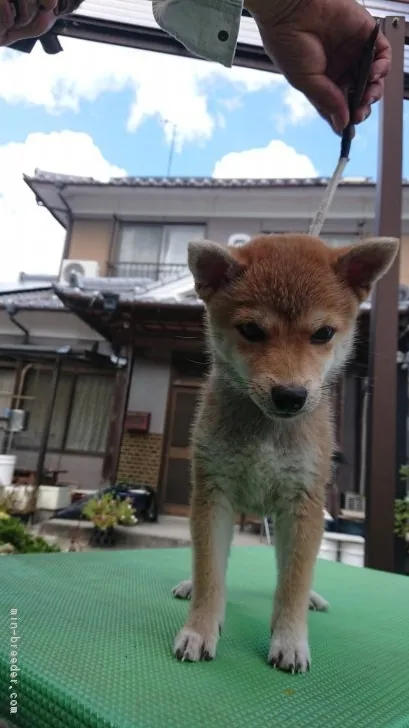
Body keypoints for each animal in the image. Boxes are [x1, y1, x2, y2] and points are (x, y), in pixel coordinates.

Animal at [172, 233, 398, 672]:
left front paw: (290, 638)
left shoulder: (302, 503)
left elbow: (293, 581)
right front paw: (200, 628)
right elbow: (210, 572)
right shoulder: (213, 495)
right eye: (251, 330)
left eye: (323, 333)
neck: (267, 431)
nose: (291, 396)